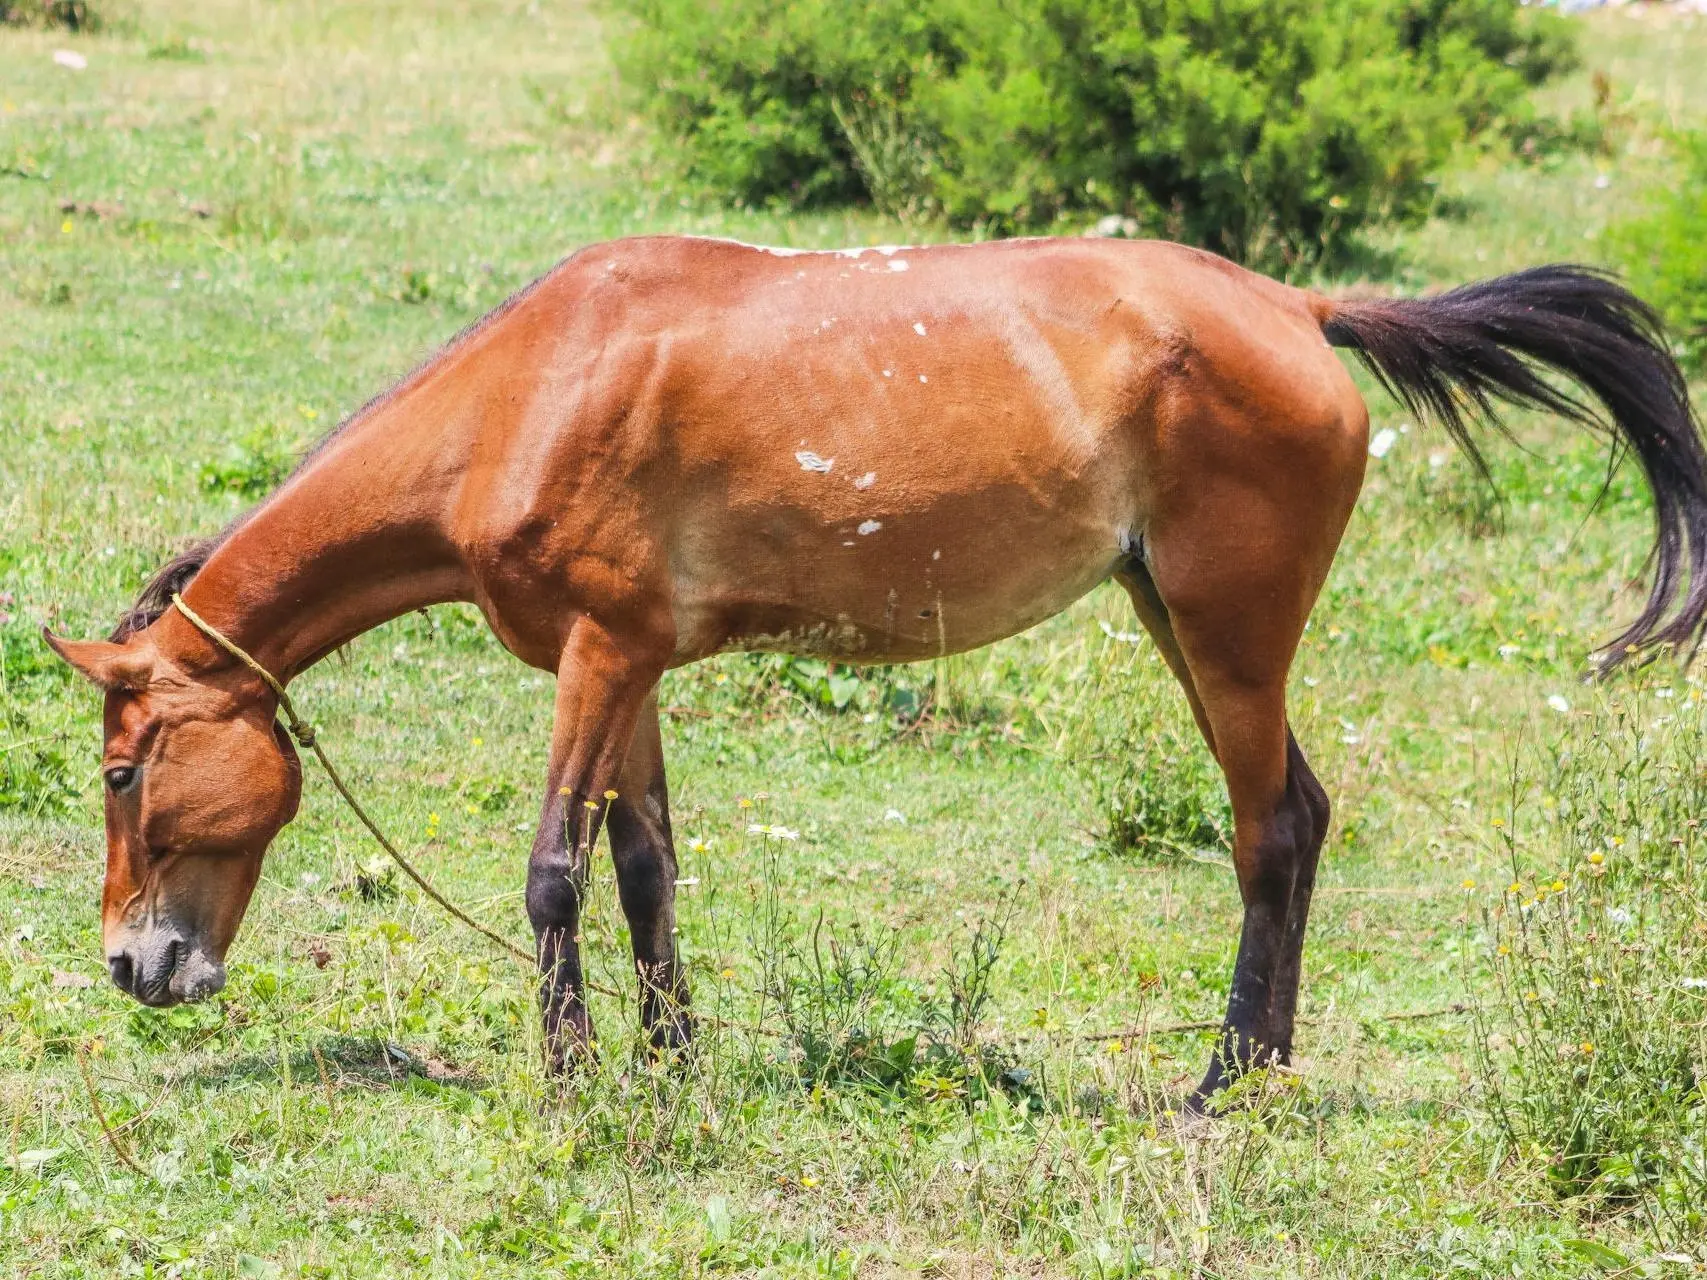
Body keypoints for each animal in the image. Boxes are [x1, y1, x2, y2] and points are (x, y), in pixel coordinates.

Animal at [43, 235, 1707, 1105]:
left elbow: (551, 877)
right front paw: (669, 1060)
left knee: (1266, 831)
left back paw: (1222, 1078)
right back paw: (1261, 1066)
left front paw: (575, 1082)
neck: (532, 393)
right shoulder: (636, 668)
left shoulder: (594, 658)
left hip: (1228, 637)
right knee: (1296, 815)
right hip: (1180, 624)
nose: (133, 968)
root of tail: (1295, 308)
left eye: (123, 773)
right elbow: (644, 868)